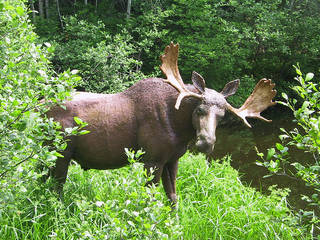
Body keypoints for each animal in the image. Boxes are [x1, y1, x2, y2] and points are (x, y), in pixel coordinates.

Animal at [46, 42, 276, 203]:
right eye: (199, 109)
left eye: (222, 116)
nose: (206, 143)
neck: (180, 129)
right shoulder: (152, 159)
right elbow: (151, 199)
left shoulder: (172, 160)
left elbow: (173, 198)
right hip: (61, 153)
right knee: (56, 189)